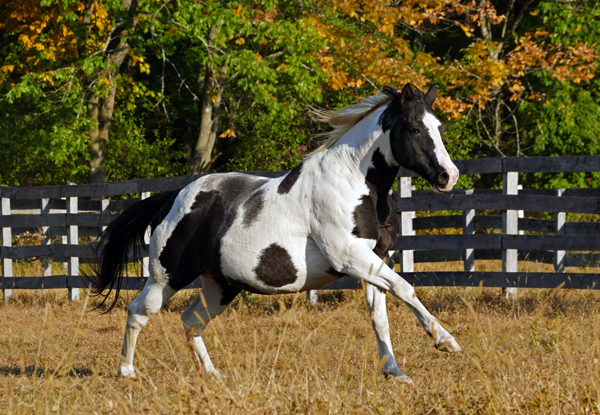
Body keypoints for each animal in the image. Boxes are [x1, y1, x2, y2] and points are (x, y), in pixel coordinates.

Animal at [86, 83, 460, 386]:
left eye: (440, 128)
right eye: (414, 128)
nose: (449, 176)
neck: (355, 184)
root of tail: (175, 197)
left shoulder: (374, 260)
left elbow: (380, 318)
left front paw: (395, 373)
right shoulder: (349, 256)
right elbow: (405, 288)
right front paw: (446, 341)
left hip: (221, 285)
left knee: (191, 321)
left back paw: (213, 374)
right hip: (166, 277)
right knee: (138, 311)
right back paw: (127, 372)